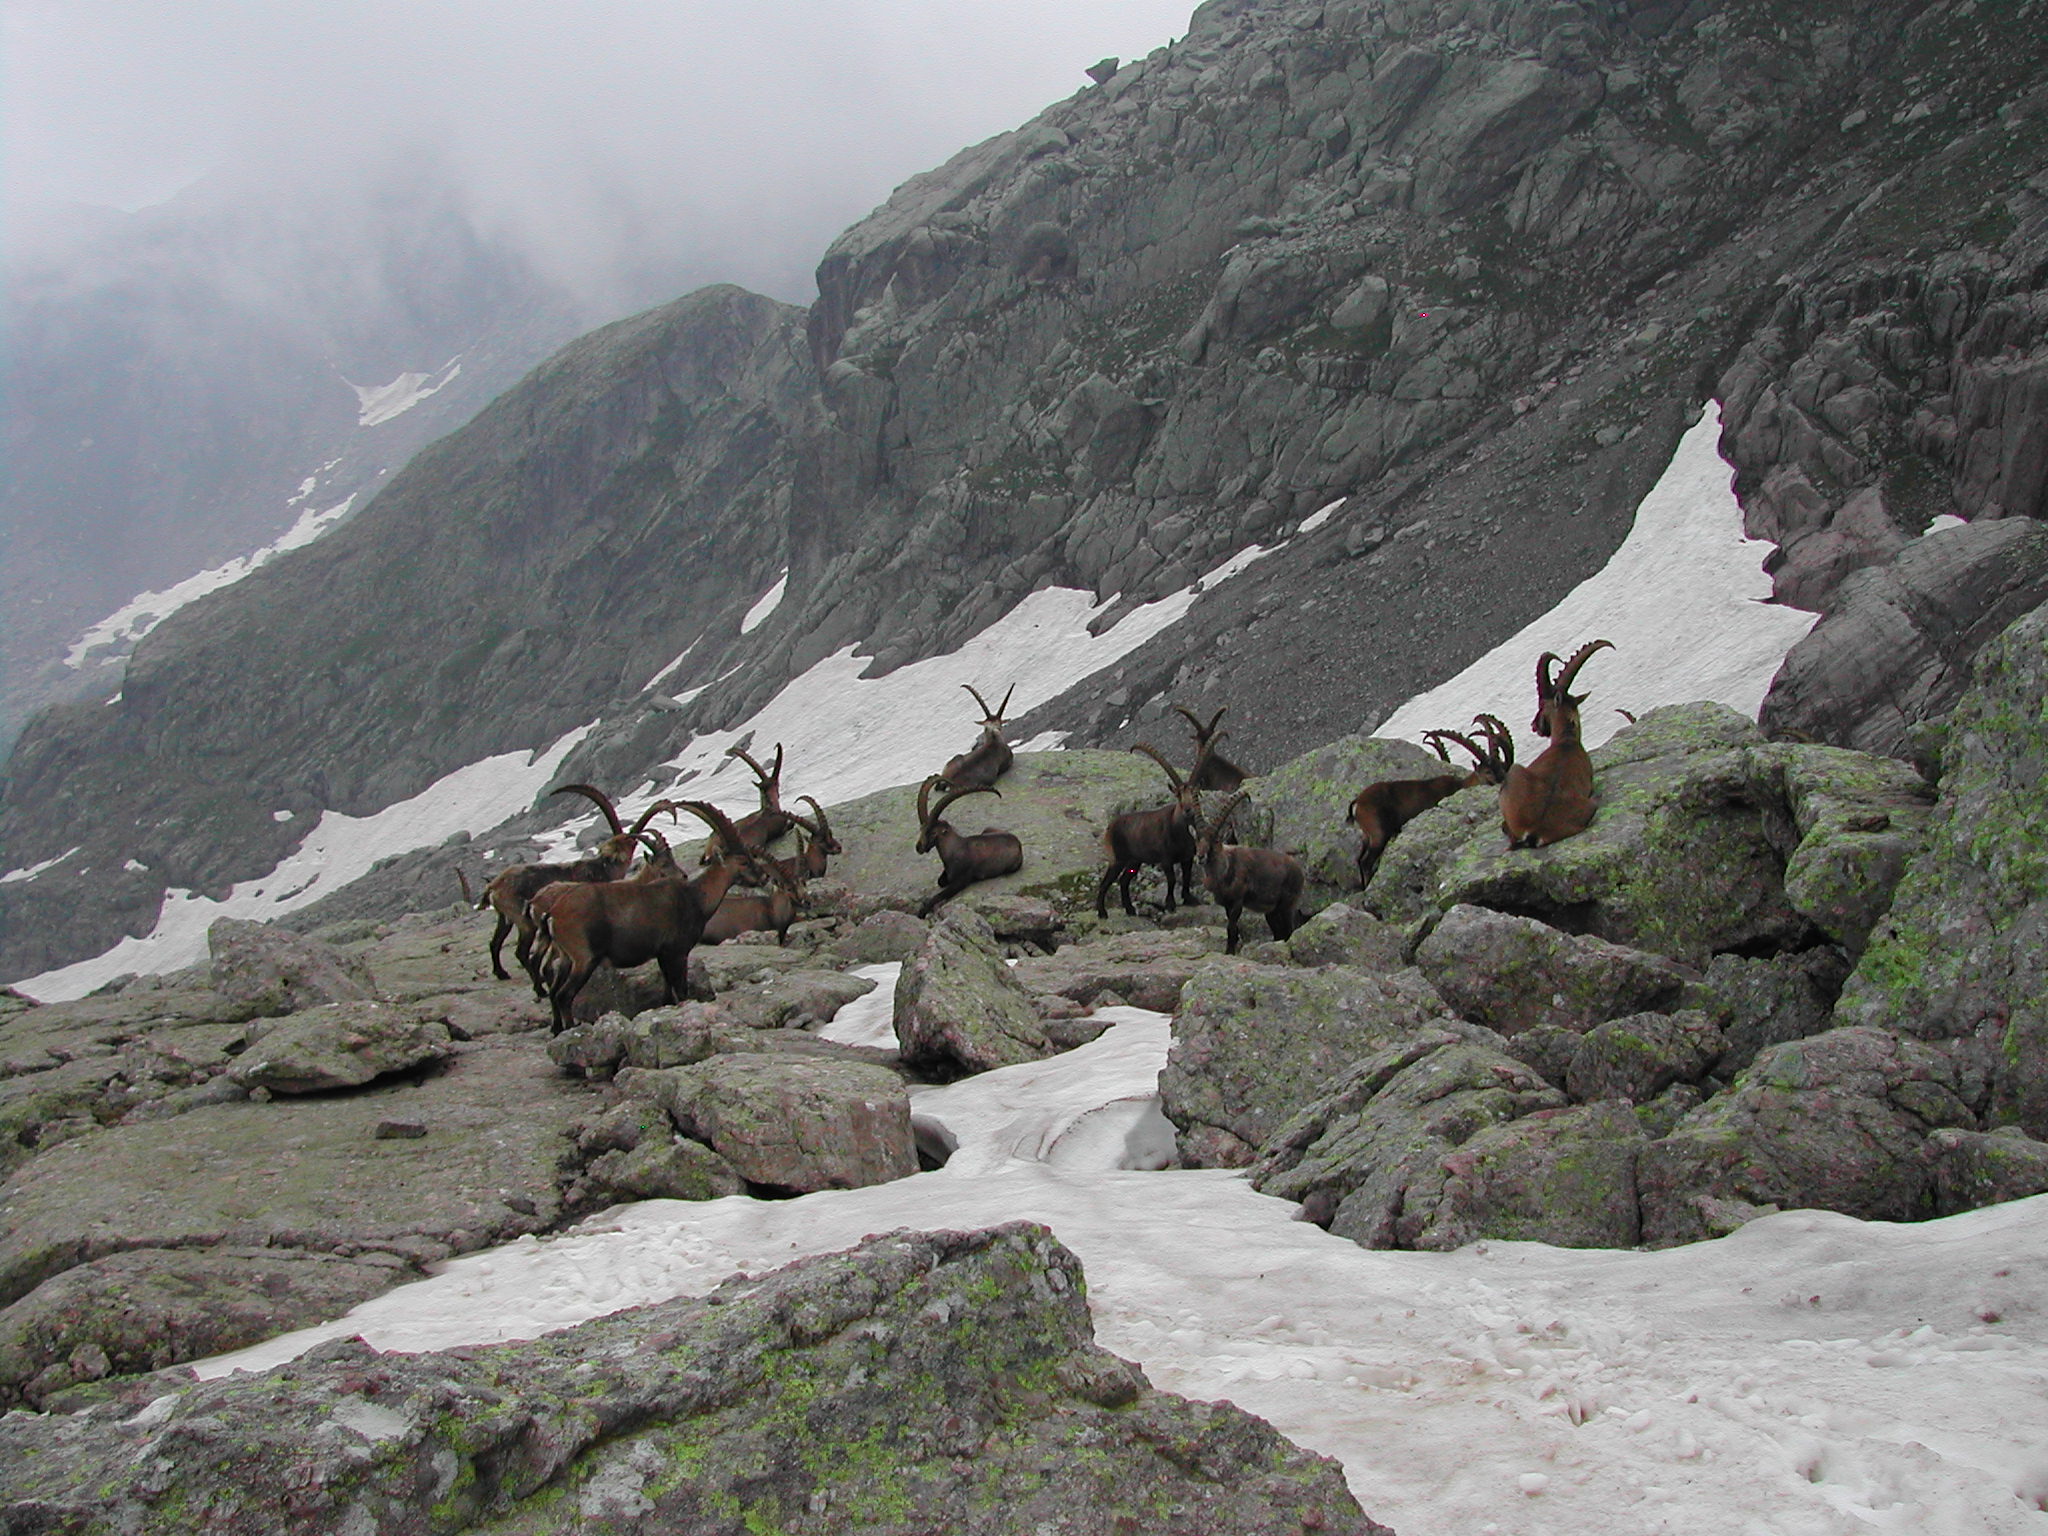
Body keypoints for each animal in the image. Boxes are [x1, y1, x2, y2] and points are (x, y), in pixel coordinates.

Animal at [532, 800, 784, 1034]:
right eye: (743, 860)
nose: (763, 876)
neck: (695, 897)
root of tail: (553, 911)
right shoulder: (677, 952)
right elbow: (681, 990)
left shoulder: (662, 954)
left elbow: (667, 994)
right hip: (584, 958)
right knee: (564, 995)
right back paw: (570, 1030)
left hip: (566, 957)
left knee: (554, 991)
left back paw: (556, 1029)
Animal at [914, 775, 1023, 918]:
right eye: (921, 829)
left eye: (932, 832)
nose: (919, 847)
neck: (954, 849)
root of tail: (1017, 841)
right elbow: (940, 881)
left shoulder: (962, 880)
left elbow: (938, 896)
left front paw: (922, 911)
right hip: (987, 829)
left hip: (1012, 867)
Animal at [1095, 742, 1203, 917]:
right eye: (1178, 795)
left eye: (1195, 793)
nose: (1188, 810)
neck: (1180, 832)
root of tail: (1110, 827)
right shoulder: (1166, 859)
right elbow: (1172, 879)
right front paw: (1170, 904)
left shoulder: (1187, 857)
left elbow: (1186, 877)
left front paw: (1189, 899)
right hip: (1118, 858)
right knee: (1106, 882)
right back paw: (1102, 912)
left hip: (1135, 860)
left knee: (1124, 881)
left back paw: (1130, 909)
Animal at [1196, 791, 1305, 954]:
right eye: (1198, 838)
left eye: (1215, 840)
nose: (1201, 857)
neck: (1224, 870)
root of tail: (1299, 870)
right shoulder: (1227, 904)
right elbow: (1233, 928)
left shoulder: (1237, 901)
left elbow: (1231, 928)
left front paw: (1229, 952)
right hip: (1271, 912)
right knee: (1279, 933)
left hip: (1287, 905)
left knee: (1288, 931)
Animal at [1349, 714, 1514, 889]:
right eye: (1487, 771)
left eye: (1501, 767)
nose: (1503, 781)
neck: (1460, 786)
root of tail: (1358, 802)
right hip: (1379, 833)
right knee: (1366, 862)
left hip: (1367, 835)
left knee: (1359, 859)